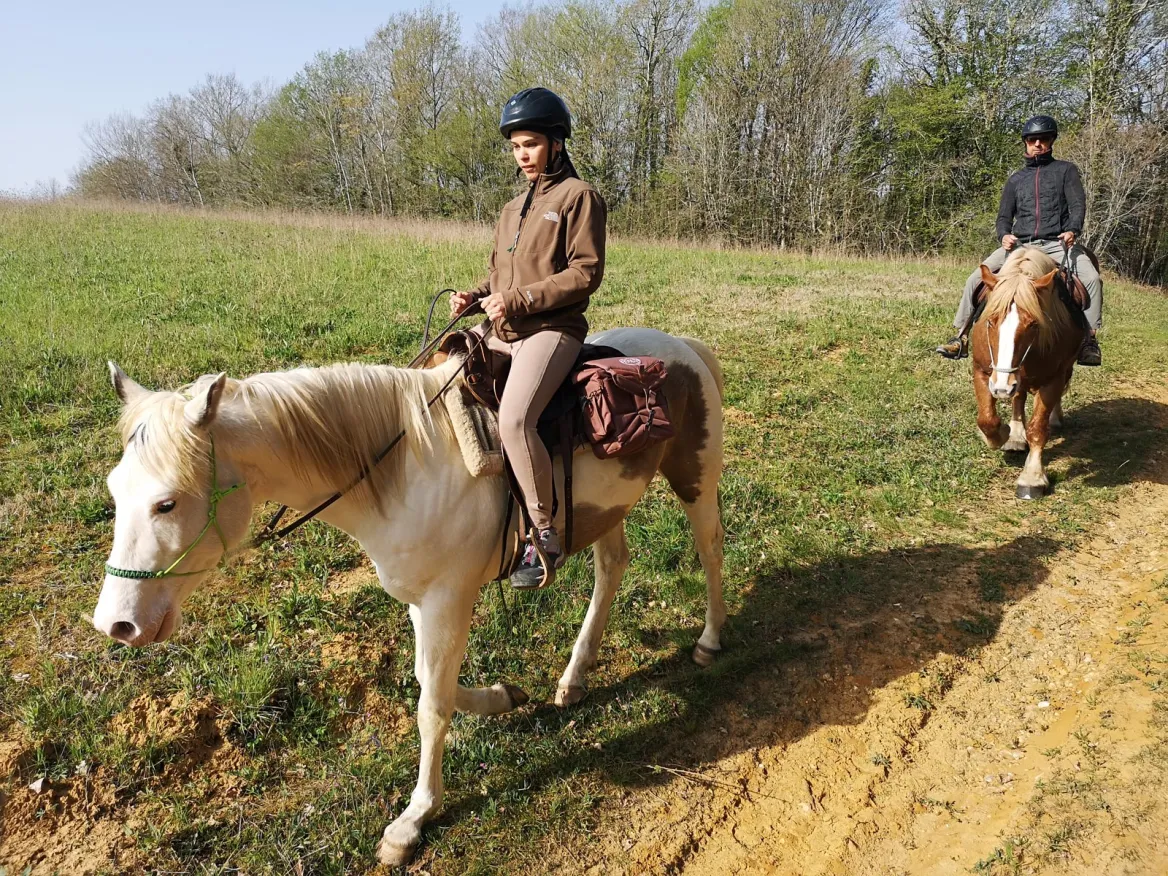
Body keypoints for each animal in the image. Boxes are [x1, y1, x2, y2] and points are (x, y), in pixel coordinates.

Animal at [91, 327, 726, 866]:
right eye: (115, 490)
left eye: (167, 502)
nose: (115, 624)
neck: (400, 470)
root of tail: (683, 346)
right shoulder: (422, 601)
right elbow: (431, 685)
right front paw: (502, 696)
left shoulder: (447, 600)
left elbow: (431, 706)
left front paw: (412, 819)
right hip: (601, 512)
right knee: (611, 568)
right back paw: (574, 676)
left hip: (695, 479)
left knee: (711, 549)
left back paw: (710, 640)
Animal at [970, 246, 1085, 499]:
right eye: (990, 321)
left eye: (1033, 324)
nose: (1002, 387)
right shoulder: (982, 371)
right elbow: (987, 419)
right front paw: (1003, 434)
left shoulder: (1052, 379)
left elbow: (1038, 429)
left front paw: (1032, 478)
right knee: (1019, 397)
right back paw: (1015, 435)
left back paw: (1054, 419)